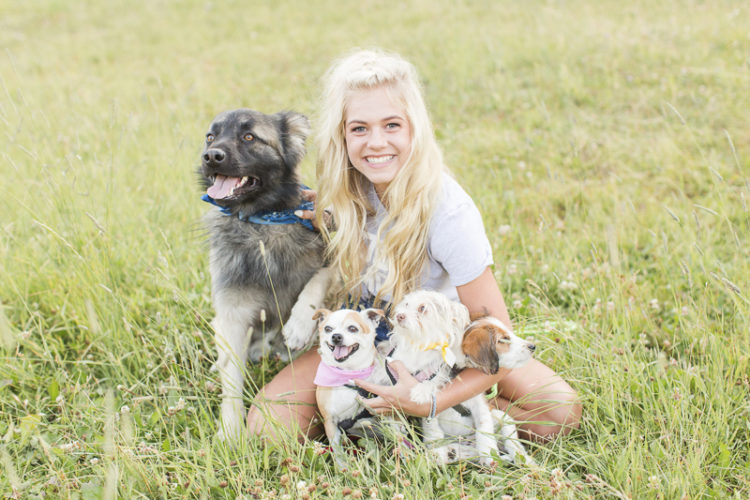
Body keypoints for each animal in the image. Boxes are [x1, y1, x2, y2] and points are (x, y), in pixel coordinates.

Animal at [199, 108, 331, 439]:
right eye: (210, 136)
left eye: (249, 137)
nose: (211, 156)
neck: (260, 222)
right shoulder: (232, 314)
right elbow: (232, 381)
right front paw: (230, 431)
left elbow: (317, 280)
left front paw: (299, 324)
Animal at [313, 308, 392, 469]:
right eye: (328, 329)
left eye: (352, 328)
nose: (336, 336)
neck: (348, 374)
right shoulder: (330, 422)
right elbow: (337, 451)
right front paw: (343, 469)